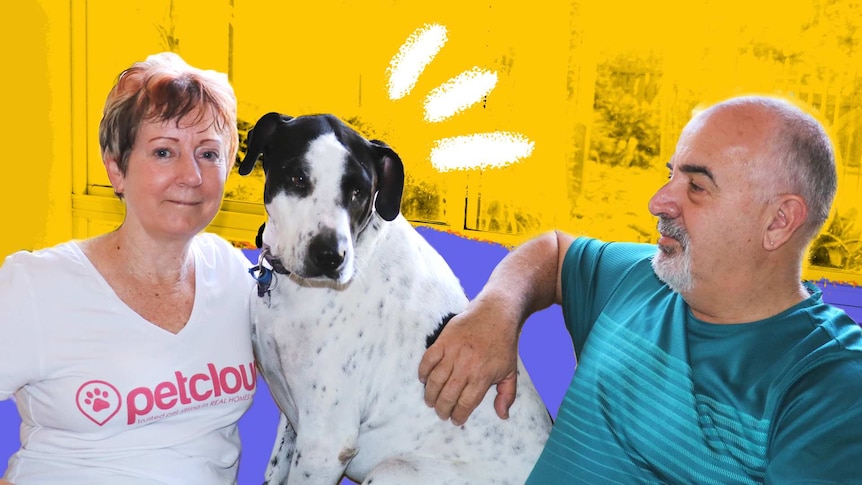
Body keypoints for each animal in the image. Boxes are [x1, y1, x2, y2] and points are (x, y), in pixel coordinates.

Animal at [240, 112, 552, 484]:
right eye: (298, 177)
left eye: (359, 191)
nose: (331, 257)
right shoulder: (294, 423)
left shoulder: (323, 444)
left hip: (392, 470)